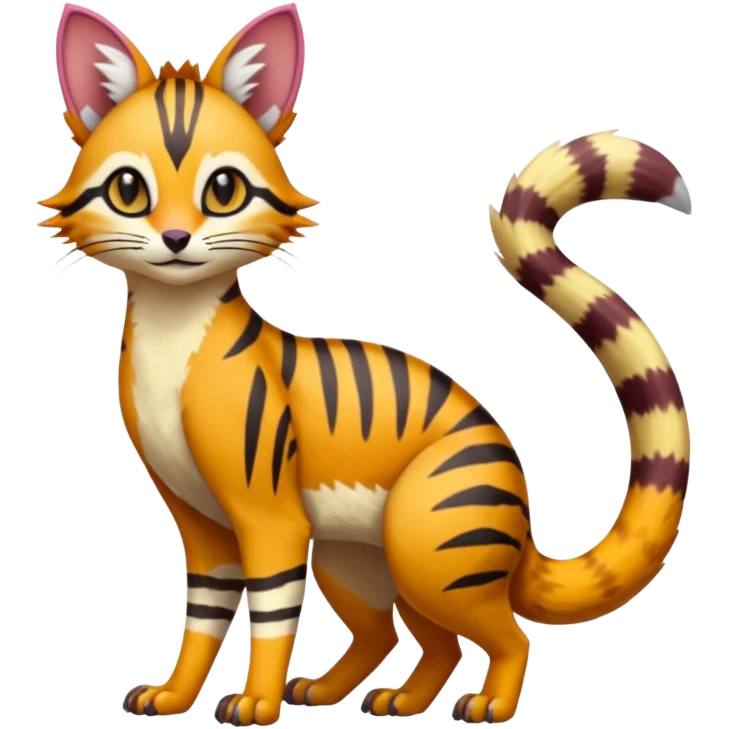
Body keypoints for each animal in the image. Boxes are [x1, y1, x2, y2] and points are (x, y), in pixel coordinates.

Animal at [40, 2, 692, 726]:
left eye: (224, 189)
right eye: (129, 189)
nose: (177, 239)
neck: (172, 328)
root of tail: (521, 525)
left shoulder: (270, 516)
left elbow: (271, 612)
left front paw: (257, 701)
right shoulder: (200, 519)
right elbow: (204, 615)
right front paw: (176, 695)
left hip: (430, 541)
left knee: (505, 633)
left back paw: (489, 703)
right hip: (363, 556)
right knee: (407, 634)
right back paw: (372, 696)